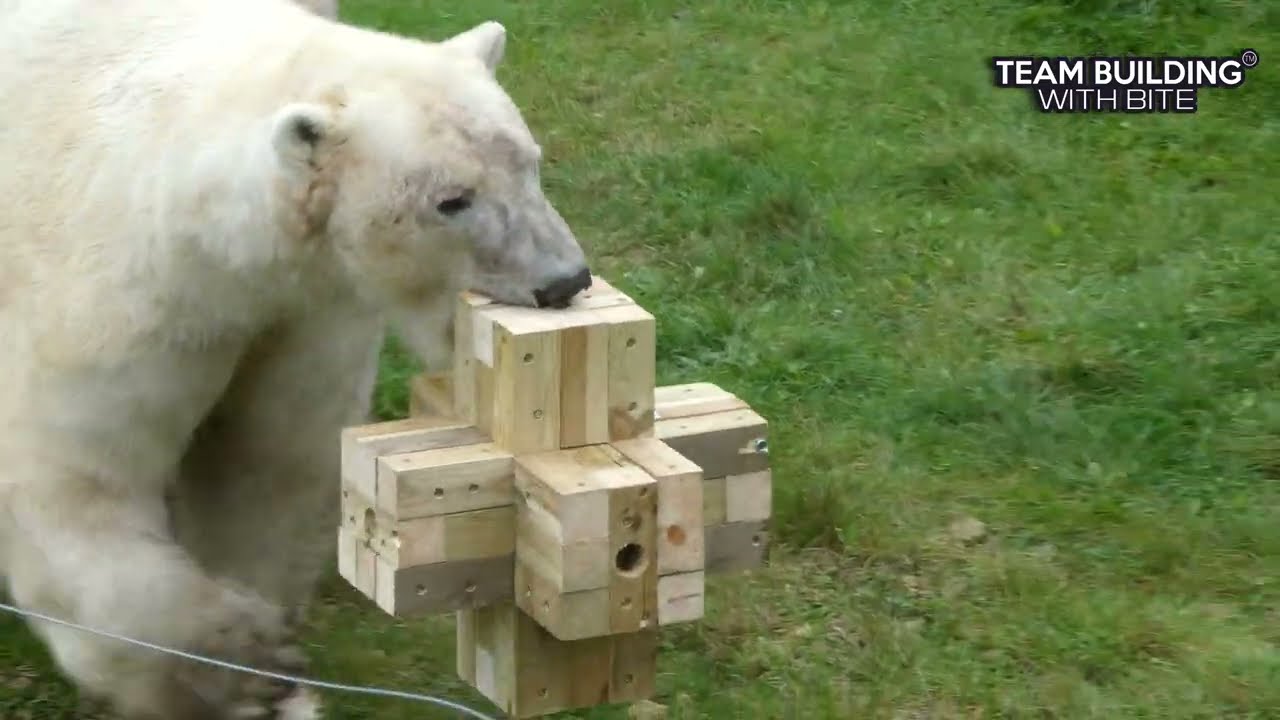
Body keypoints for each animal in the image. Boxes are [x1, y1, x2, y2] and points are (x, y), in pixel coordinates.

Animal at [0, 1, 591, 718]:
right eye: (451, 199)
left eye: (530, 162)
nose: (564, 281)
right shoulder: (108, 298)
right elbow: (76, 489)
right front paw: (243, 666)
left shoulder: (299, 313)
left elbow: (266, 467)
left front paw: (271, 681)